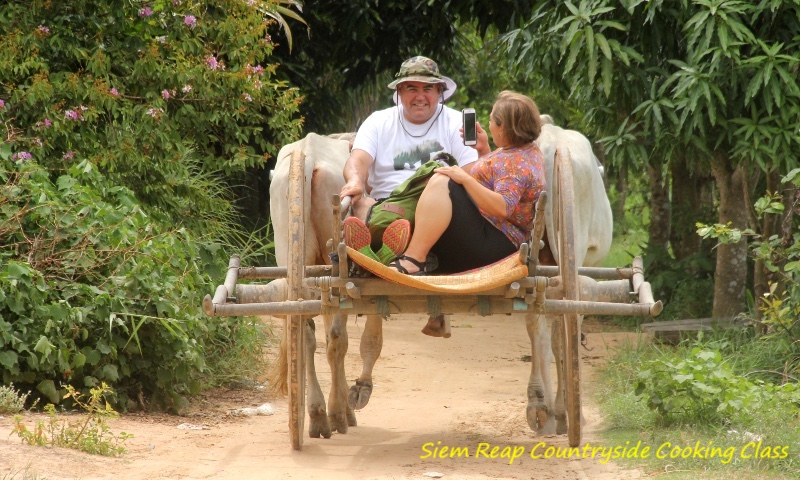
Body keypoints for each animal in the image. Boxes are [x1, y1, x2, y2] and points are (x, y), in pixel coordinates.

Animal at [268, 123, 612, 438]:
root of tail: (310, 152)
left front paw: (355, 394)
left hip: (297, 261)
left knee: (307, 331)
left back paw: (320, 415)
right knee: (547, 324)